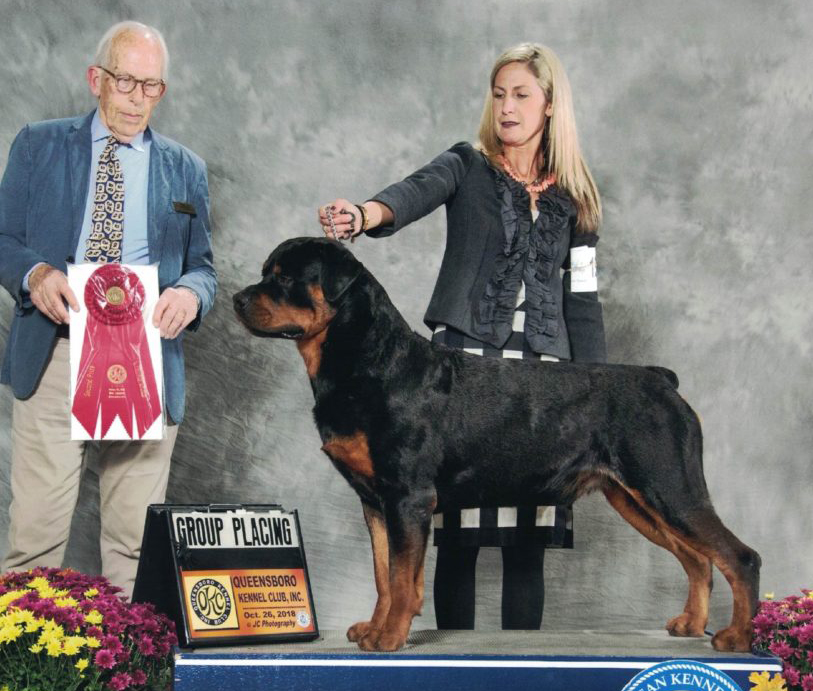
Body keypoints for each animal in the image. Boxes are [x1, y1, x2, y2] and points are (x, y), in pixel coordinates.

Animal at [233, 236, 760, 653]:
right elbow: (384, 574)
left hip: (670, 485)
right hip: (635, 497)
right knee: (697, 558)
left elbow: (402, 578)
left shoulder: (407, 496)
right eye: (265, 273)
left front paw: (390, 636)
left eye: (284, 278)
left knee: (737, 556)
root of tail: (662, 380)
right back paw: (691, 625)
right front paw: (374, 627)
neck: (368, 359)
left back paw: (736, 637)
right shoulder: (375, 502)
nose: (237, 298)